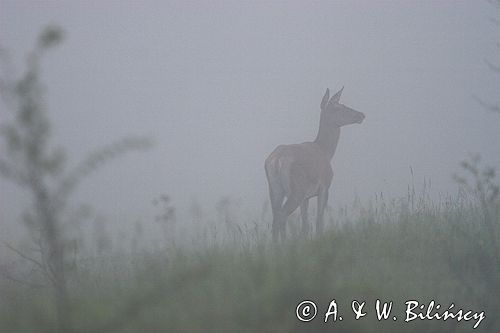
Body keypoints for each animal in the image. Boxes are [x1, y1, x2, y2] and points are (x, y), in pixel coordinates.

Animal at [264, 87, 366, 240]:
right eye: (337, 107)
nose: (361, 115)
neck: (326, 151)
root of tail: (277, 160)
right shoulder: (324, 187)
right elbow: (319, 222)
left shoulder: (306, 198)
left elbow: (305, 225)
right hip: (296, 190)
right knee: (282, 216)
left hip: (275, 190)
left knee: (275, 219)